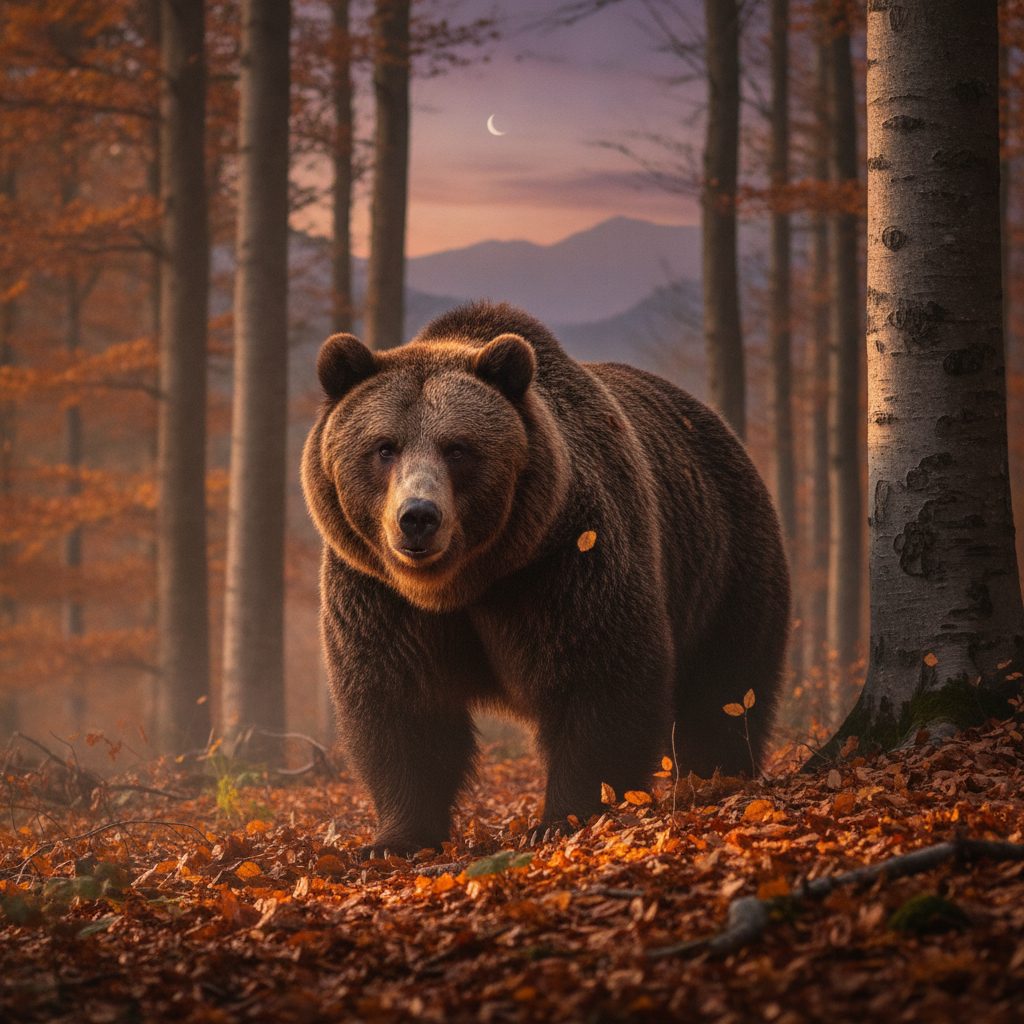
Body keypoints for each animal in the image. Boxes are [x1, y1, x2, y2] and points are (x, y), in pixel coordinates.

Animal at [301, 301, 790, 855]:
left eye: (457, 448)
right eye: (385, 447)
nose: (418, 517)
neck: (461, 583)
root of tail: (717, 423)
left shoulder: (562, 562)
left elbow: (597, 674)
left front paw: (564, 816)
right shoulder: (376, 590)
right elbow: (401, 700)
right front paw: (396, 838)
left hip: (724, 561)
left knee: (726, 688)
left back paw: (719, 777)